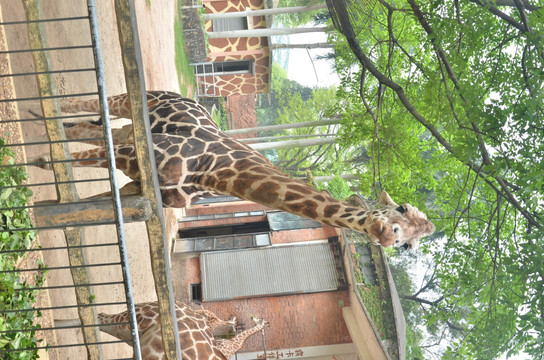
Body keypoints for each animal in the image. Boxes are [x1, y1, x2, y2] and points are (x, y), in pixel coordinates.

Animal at [33, 90, 434, 248]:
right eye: (401, 209)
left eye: (410, 246)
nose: (386, 237)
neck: (211, 171)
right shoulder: (133, 156)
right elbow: (72, 162)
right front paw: (34, 164)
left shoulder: (141, 188)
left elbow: (82, 212)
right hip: (137, 105)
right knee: (92, 109)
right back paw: (37, 112)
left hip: (131, 127)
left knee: (86, 129)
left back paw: (44, 118)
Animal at [96, 300, 270, 360]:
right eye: (258, 319)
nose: (255, 317)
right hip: (136, 316)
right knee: (101, 318)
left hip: (131, 332)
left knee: (101, 318)